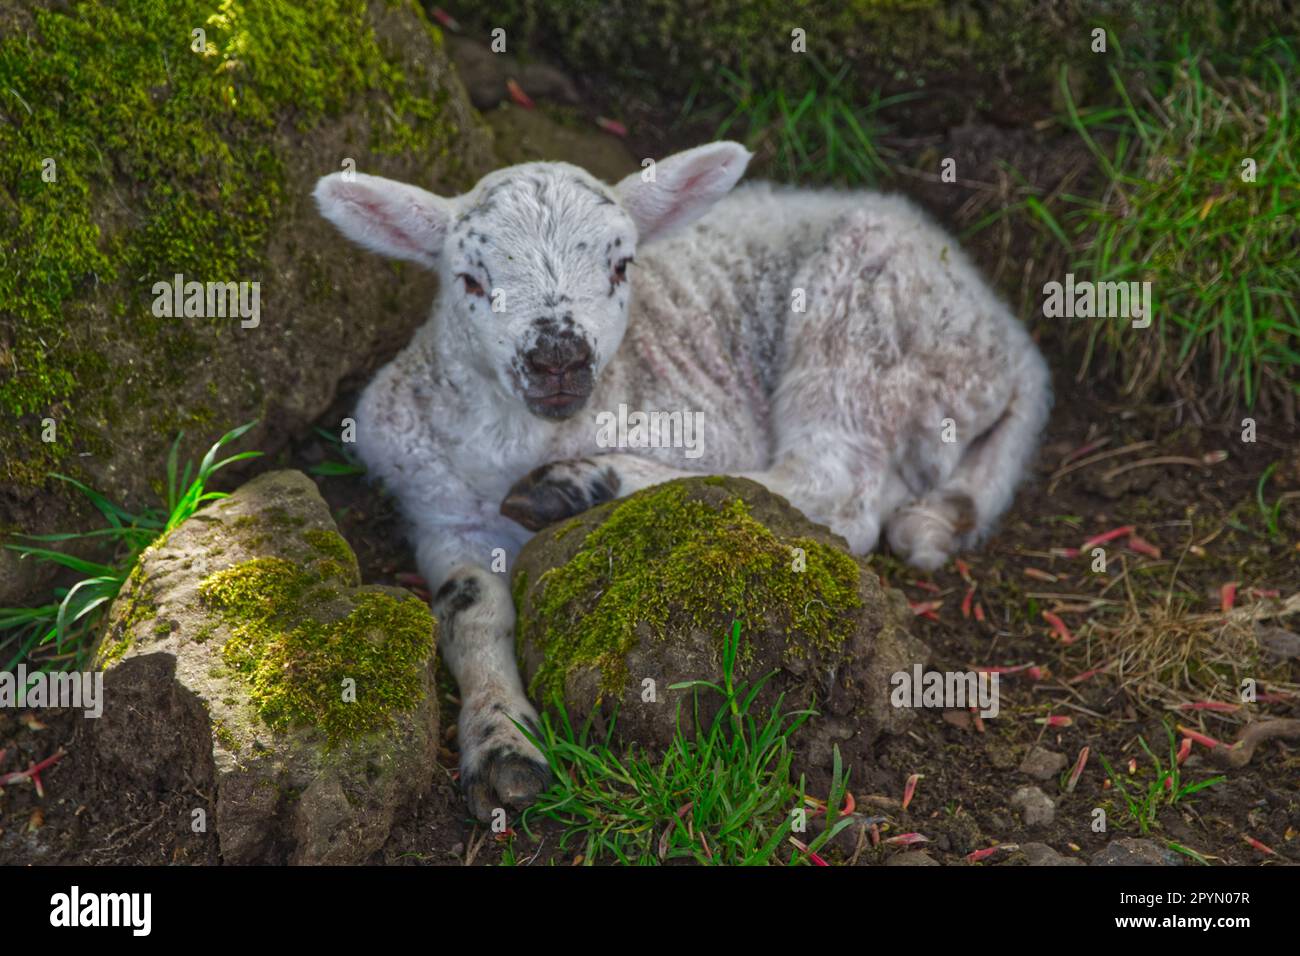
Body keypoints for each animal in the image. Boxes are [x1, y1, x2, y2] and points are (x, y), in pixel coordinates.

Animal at [313, 141, 1052, 819]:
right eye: (469, 278)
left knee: (835, 483)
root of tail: (1015, 346)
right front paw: (501, 744)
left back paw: (584, 485)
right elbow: (469, 612)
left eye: (621, 265)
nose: (559, 357)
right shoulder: (439, 512)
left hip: (864, 317)